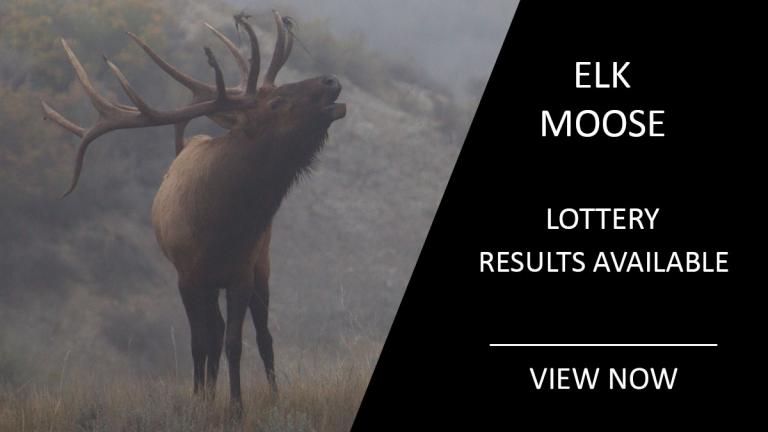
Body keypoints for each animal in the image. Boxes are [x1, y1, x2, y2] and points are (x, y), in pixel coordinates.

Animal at [41, 11, 346, 408]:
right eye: (276, 103)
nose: (331, 80)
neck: (221, 227)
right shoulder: (187, 276)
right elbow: (199, 342)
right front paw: (201, 398)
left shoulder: (241, 273)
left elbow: (235, 343)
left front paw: (235, 407)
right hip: (207, 282)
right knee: (213, 332)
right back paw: (208, 392)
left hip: (262, 264)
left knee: (262, 335)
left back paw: (272, 395)